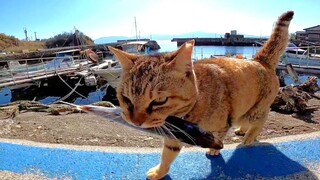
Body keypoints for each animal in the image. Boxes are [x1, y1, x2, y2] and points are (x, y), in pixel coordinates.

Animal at [109, 10, 294, 179]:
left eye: (160, 100)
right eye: (126, 99)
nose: (136, 122)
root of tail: (259, 60)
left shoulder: (220, 125)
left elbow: (218, 137)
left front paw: (214, 149)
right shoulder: (174, 135)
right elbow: (167, 155)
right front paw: (159, 172)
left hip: (256, 110)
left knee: (261, 118)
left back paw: (248, 137)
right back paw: (242, 130)